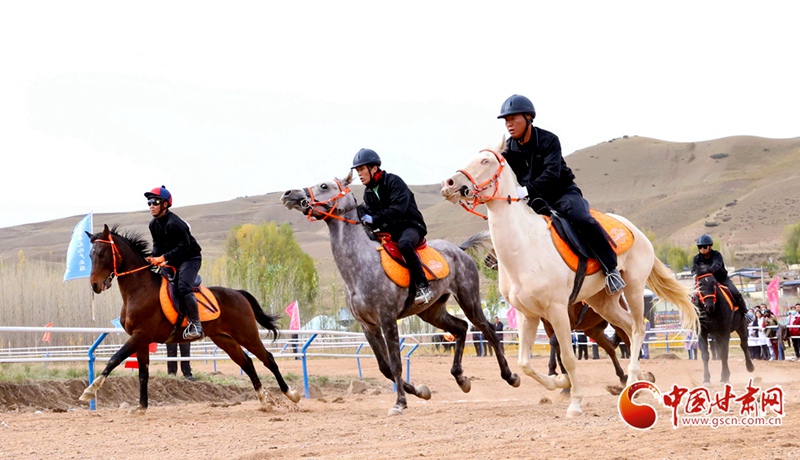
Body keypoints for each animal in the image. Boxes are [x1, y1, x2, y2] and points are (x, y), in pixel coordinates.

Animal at [79, 225, 301, 412]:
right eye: (90, 255)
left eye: (101, 253)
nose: (95, 285)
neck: (139, 289)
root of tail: (238, 293)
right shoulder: (140, 340)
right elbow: (143, 374)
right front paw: (141, 407)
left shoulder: (140, 336)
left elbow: (114, 359)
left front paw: (90, 390)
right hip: (224, 339)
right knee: (246, 363)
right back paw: (263, 400)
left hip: (246, 334)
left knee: (268, 359)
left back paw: (292, 394)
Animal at [281, 171, 520, 415]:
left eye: (323, 186)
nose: (289, 194)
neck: (359, 265)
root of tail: (458, 250)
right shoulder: (368, 326)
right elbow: (385, 367)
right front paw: (420, 391)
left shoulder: (387, 319)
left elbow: (395, 363)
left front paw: (400, 402)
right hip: (431, 311)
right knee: (461, 328)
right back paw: (461, 379)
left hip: (468, 299)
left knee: (488, 330)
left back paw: (510, 376)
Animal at [440, 142, 699, 417]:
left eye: (486, 161)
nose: (449, 184)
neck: (526, 246)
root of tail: (634, 230)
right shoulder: (527, 314)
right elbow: (525, 363)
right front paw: (559, 382)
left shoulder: (557, 311)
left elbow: (567, 357)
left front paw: (574, 401)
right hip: (603, 302)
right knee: (627, 329)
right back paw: (639, 379)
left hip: (634, 288)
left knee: (638, 329)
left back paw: (630, 381)